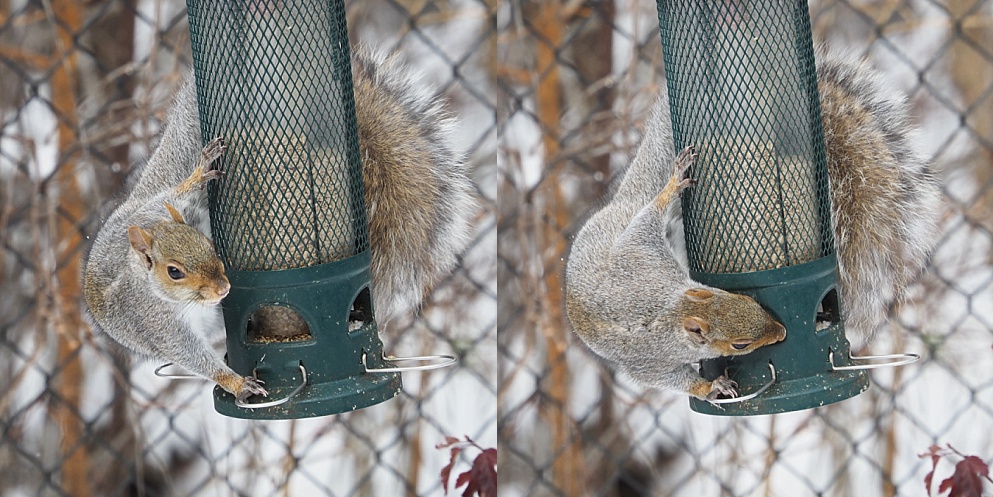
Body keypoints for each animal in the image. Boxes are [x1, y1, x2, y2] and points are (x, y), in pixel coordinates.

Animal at [83, 48, 474, 402]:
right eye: (174, 272)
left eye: (210, 248)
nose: (223, 287)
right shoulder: (158, 327)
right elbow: (193, 359)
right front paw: (237, 384)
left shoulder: (167, 211)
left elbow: (181, 192)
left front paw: (200, 172)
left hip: (154, 206)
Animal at [564, 50, 936, 400]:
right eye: (739, 345)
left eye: (748, 301)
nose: (782, 332)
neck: (671, 308)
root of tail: (620, 202)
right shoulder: (648, 360)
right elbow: (665, 378)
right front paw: (712, 388)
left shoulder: (644, 258)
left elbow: (647, 224)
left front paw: (673, 184)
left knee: (644, 218)